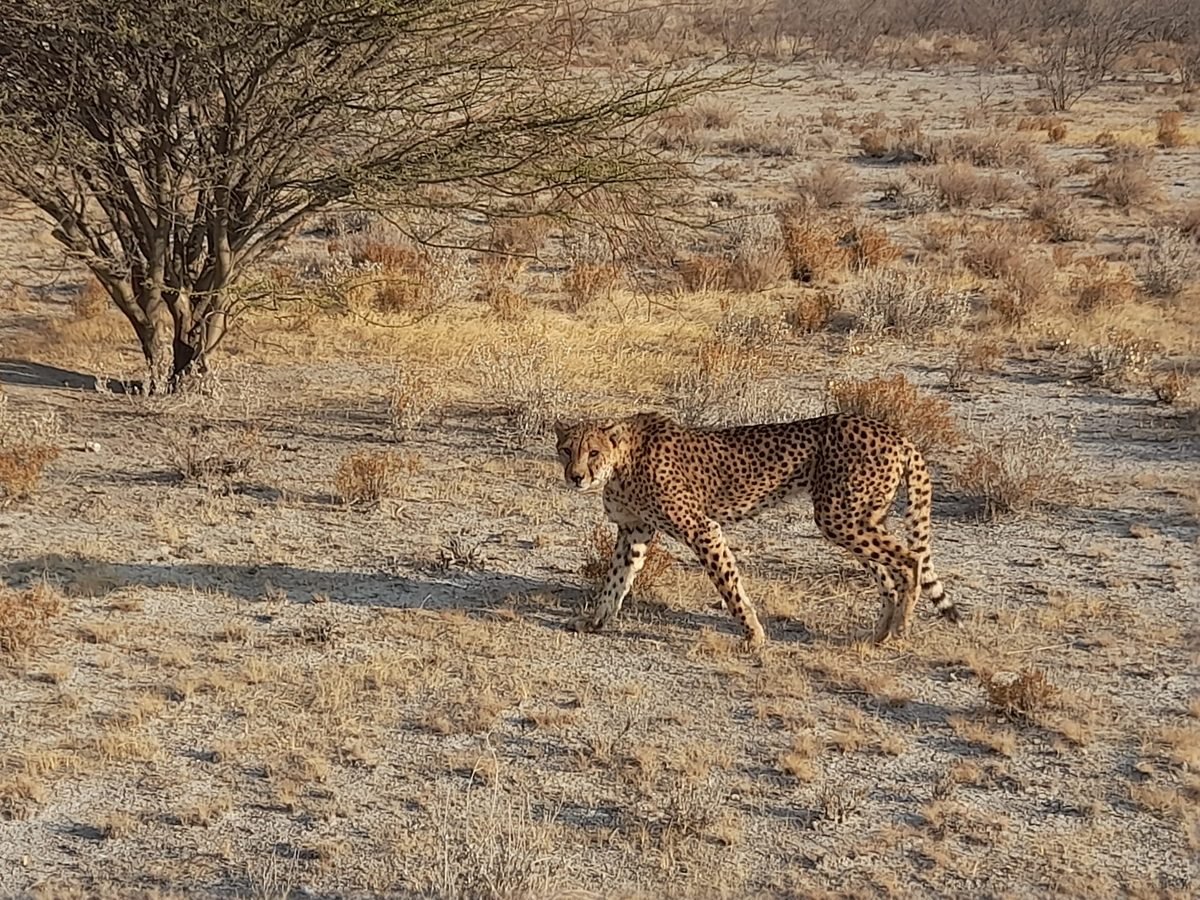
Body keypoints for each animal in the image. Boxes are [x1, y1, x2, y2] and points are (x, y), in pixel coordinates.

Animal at [553, 411, 959, 648]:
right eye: (566, 449)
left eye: (592, 452)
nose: (575, 477)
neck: (623, 460)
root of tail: (895, 433)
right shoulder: (634, 530)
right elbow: (616, 580)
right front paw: (595, 621)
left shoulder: (702, 528)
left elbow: (729, 585)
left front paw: (753, 635)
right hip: (856, 520)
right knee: (888, 574)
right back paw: (878, 634)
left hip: (840, 518)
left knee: (910, 560)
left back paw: (900, 630)